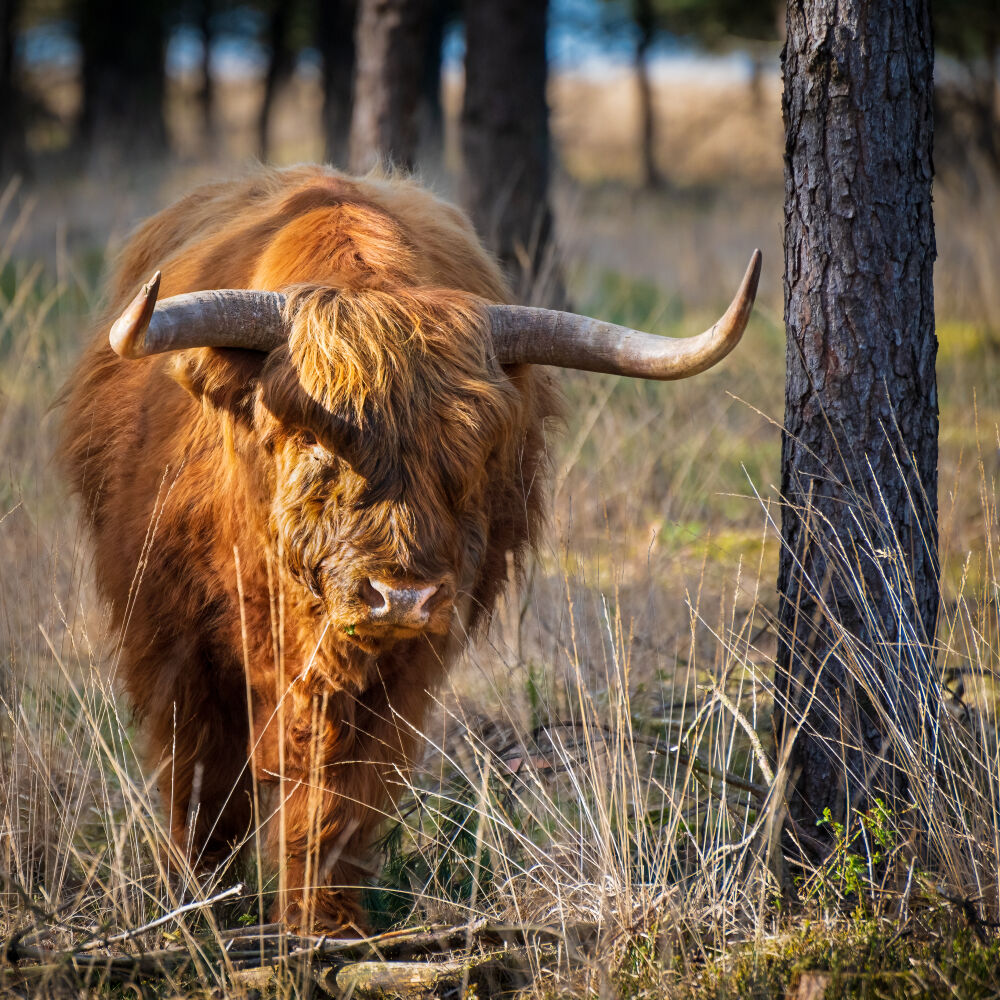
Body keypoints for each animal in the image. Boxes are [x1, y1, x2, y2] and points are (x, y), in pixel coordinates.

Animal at [58, 168, 760, 932]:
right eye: (313, 440)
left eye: (474, 452)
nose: (400, 596)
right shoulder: (171, 636)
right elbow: (198, 774)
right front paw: (202, 902)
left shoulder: (401, 666)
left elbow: (337, 789)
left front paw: (325, 924)